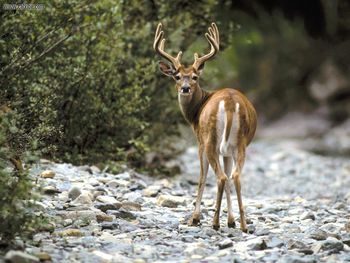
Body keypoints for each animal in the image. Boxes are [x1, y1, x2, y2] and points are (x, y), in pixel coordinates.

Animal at [153, 23, 258, 233]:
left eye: (194, 77)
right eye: (177, 76)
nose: (185, 88)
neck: (195, 112)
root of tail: (229, 103)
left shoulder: (200, 142)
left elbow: (201, 178)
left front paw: (194, 218)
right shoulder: (226, 151)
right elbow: (228, 176)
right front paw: (231, 221)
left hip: (211, 139)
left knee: (221, 177)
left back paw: (215, 222)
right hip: (239, 143)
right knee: (234, 176)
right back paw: (243, 225)